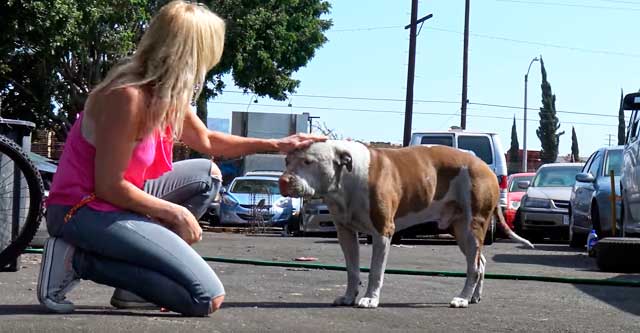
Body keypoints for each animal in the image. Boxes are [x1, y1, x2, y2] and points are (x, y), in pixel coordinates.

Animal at [280, 140, 536, 308]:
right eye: (287, 160)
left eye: (308, 161)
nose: (283, 180)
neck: (347, 179)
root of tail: (484, 166)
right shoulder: (346, 233)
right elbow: (352, 270)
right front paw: (348, 297)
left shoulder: (382, 232)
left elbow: (375, 271)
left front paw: (370, 299)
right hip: (461, 229)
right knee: (480, 262)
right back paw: (473, 296)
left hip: (473, 226)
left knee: (473, 265)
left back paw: (462, 298)